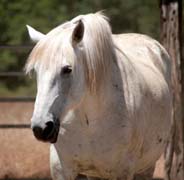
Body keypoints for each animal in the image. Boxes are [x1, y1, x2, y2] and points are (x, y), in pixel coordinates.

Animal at [25, 11, 172, 179]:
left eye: (67, 69)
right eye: (35, 71)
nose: (41, 128)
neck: (89, 122)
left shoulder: (123, 170)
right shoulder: (61, 169)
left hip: (146, 168)